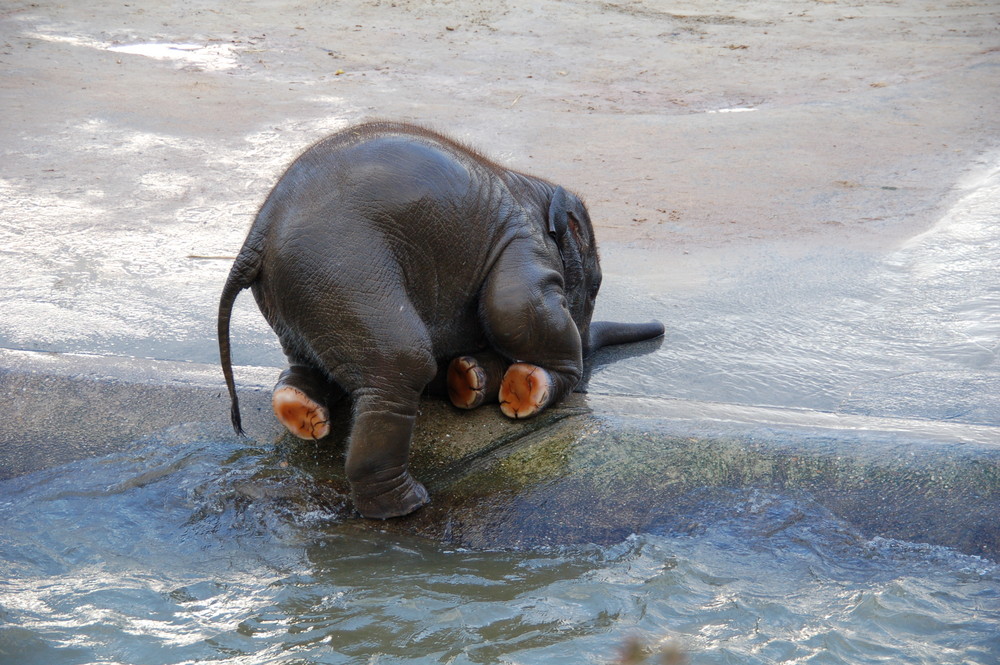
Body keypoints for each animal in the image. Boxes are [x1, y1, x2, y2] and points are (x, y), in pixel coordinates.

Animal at [217, 123, 664, 520]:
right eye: (596, 287)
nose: (660, 328)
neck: (534, 188)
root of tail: (257, 233)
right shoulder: (523, 244)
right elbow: (512, 307)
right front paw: (529, 387)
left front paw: (471, 380)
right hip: (342, 270)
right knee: (403, 363)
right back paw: (405, 506)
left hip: (304, 294)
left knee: (313, 362)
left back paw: (301, 408)